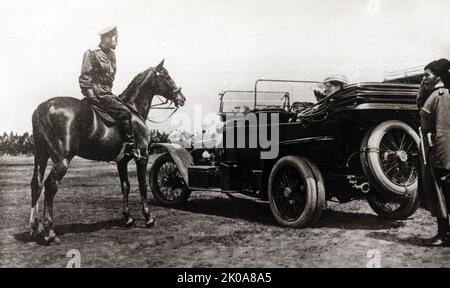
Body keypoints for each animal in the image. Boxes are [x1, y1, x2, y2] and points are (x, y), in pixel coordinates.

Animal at [29, 60, 185, 243]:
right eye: (166, 75)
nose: (182, 98)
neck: (133, 111)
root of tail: (43, 108)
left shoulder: (122, 161)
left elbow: (125, 186)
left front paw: (128, 218)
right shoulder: (142, 156)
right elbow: (142, 185)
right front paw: (148, 217)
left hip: (41, 156)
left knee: (36, 184)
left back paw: (35, 228)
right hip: (62, 160)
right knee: (50, 186)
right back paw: (50, 232)